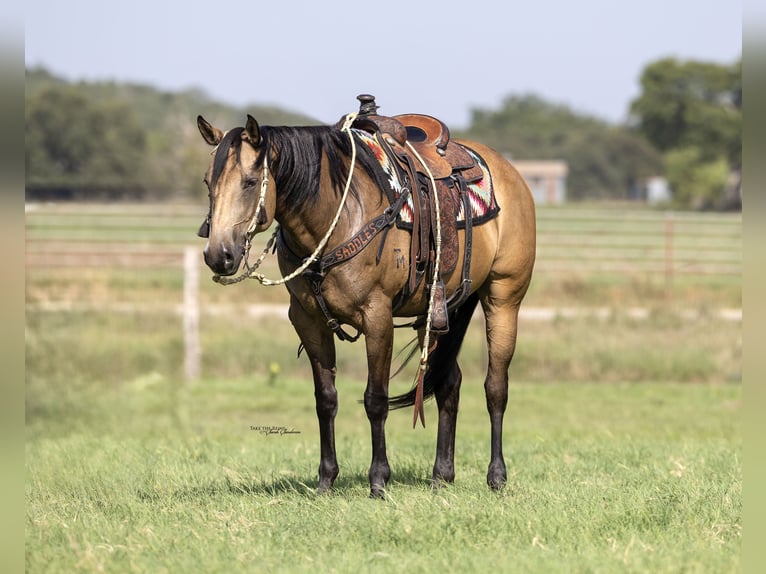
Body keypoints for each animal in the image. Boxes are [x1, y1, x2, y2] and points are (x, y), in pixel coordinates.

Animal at [195, 95, 536, 500]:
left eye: (249, 182)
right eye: (207, 182)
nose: (219, 255)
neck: (338, 218)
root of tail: (509, 172)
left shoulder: (377, 318)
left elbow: (375, 400)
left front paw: (378, 480)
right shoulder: (308, 321)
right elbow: (325, 399)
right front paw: (326, 480)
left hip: (504, 298)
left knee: (495, 387)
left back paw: (496, 475)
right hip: (441, 311)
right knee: (448, 382)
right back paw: (442, 475)